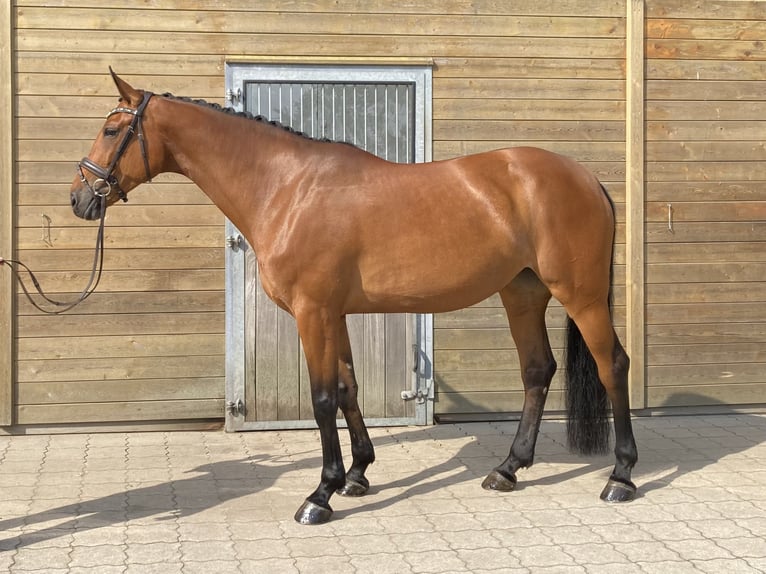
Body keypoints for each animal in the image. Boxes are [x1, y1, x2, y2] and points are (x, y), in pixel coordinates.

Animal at [72, 71, 640, 528]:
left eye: (111, 130)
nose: (80, 199)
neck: (287, 189)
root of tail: (587, 178)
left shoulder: (312, 312)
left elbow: (322, 397)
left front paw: (320, 494)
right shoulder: (335, 313)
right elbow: (347, 387)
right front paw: (357, 474)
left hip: (581, 295)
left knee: (612, 364)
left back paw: (621, 476)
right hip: (521, 293)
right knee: (537, 371)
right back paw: (507, 469)